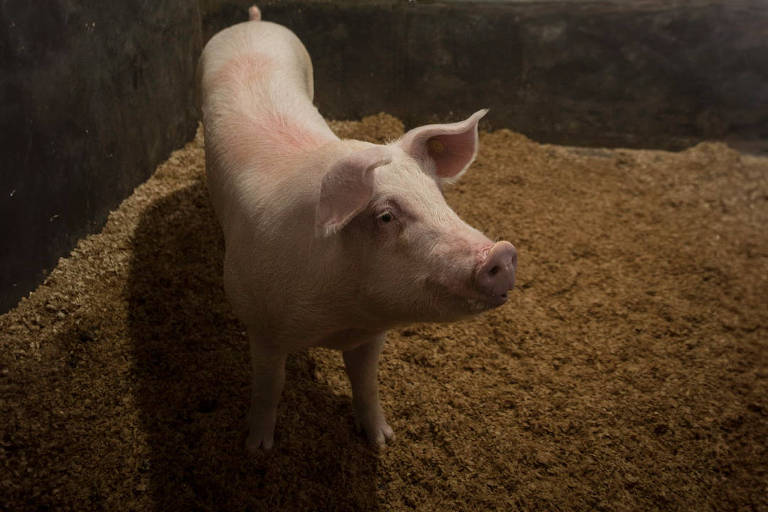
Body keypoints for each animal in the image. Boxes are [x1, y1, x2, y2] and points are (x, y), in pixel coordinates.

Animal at [198, 5, 517, 451]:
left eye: (438, 196)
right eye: (385, 216)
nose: (501, 253)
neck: (340, 314)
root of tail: (253, 22)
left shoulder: (371, 333)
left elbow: (366, 384)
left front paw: (382, 441)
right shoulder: (260, 323)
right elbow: (269, 387)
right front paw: (256, 449)